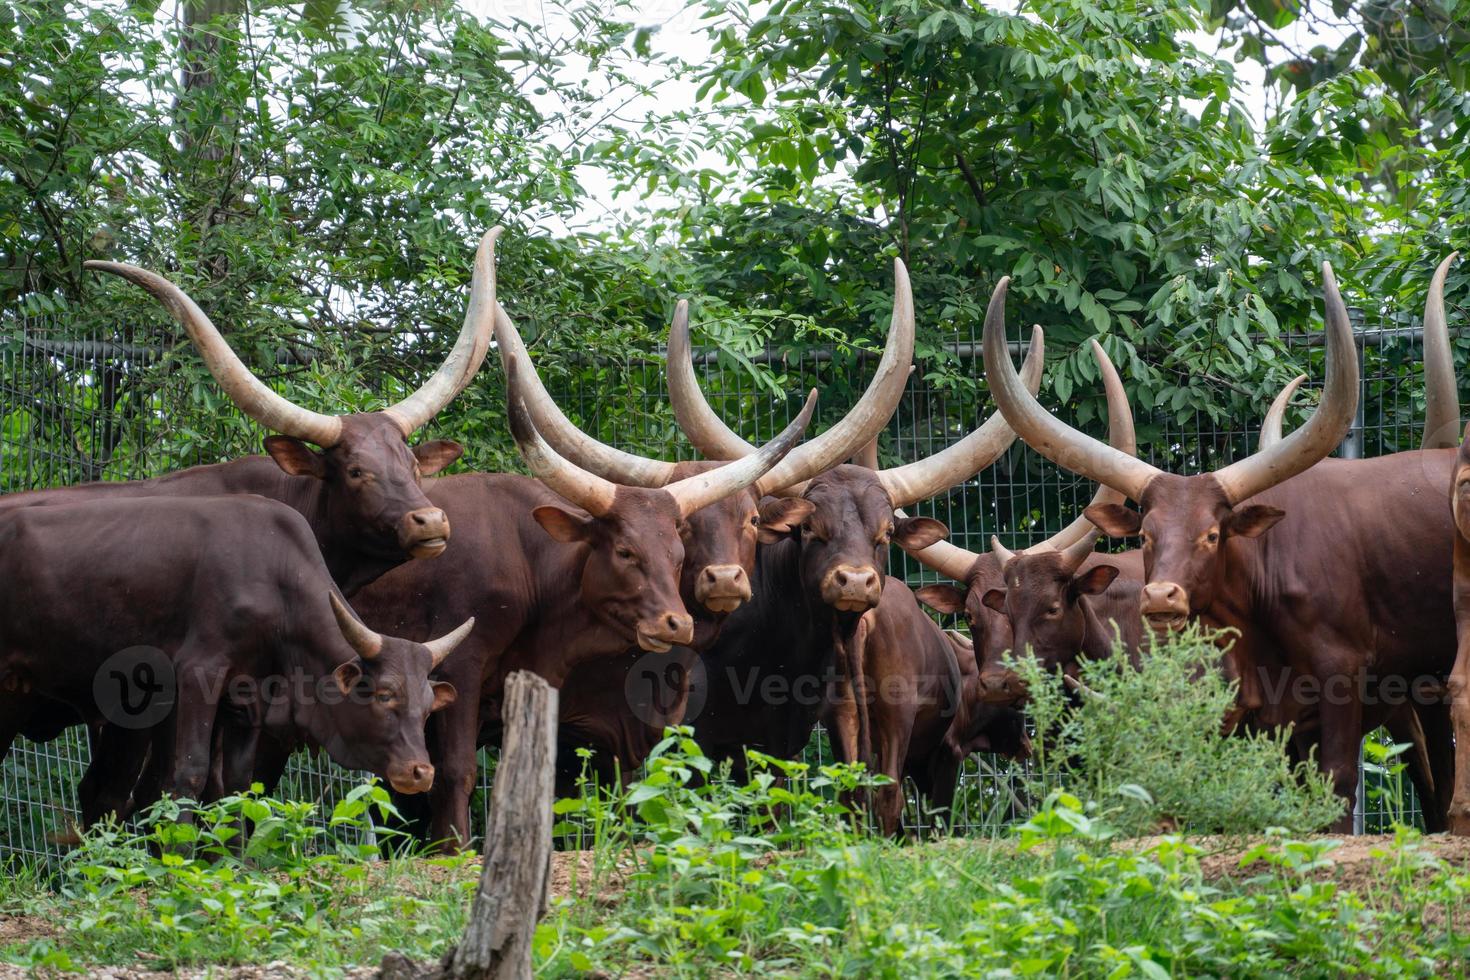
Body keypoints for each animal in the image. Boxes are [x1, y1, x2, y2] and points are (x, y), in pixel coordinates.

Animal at [0, 499, 470, 805]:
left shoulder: (248, 699)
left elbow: (238, 785)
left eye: (428, 705)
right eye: (384, 694)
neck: (276, 578)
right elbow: (189, 775)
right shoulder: (197, 674)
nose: (420, 772)